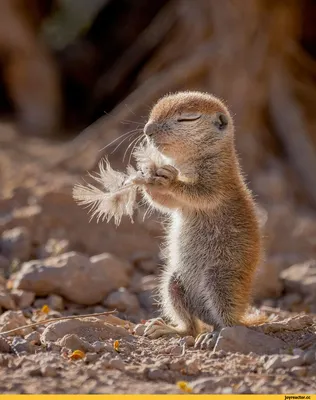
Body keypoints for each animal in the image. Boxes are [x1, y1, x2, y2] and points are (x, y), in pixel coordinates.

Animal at [132, 90, 266, 346]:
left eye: (187, 118)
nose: (147, 130)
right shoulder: (178, 202)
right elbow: (165, 203)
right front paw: (145, 177)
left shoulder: (218, 181)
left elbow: (200, 194)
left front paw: (170, 180)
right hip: (173, 282)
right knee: (191, 327)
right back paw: (168, 329)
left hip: (220, 281)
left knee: (229, 323)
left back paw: (214, 335)